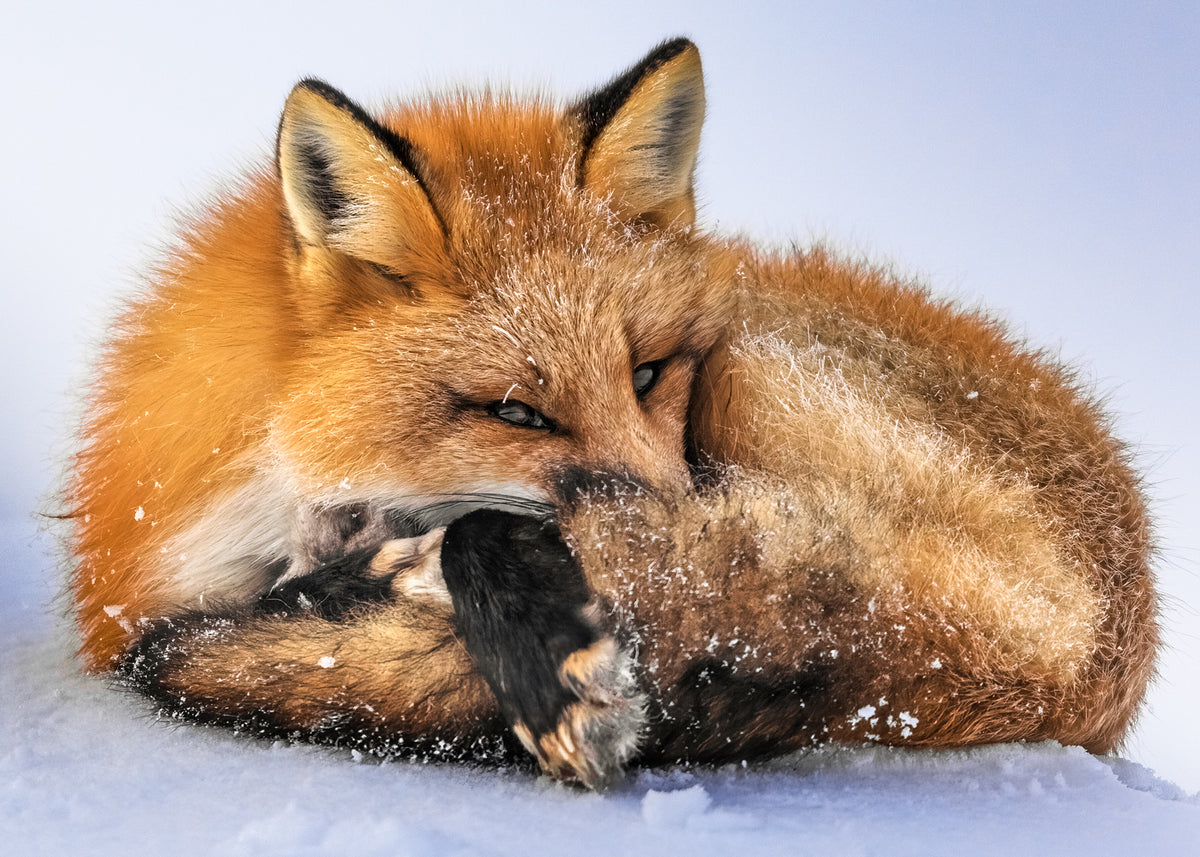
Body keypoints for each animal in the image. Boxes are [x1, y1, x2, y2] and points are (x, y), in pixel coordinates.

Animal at [66, 38, 1158, 788]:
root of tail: (1110, 631)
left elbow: (484, 532)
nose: (678, 501)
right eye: (516, 411)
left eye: (648, 372)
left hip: (761, 374)